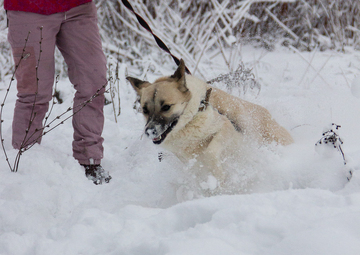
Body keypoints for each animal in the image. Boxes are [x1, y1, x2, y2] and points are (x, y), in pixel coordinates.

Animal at [126, 59, 292, 186]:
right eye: (145, 110)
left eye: (166, 107)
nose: (149, 132)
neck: (191, 118)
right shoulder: (186, 157)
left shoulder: (225, 128)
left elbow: (210, 152)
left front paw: (218, 177)